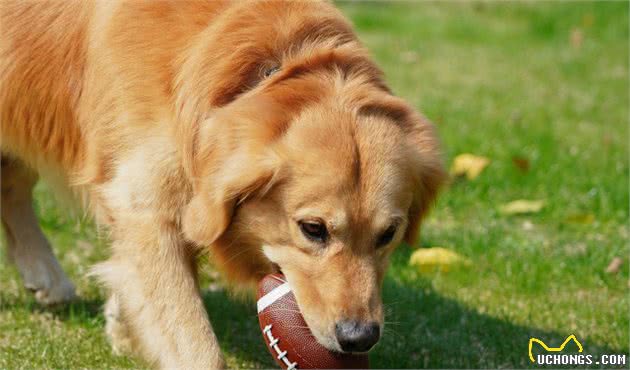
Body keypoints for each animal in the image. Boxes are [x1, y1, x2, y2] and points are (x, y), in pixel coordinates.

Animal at [0, 0, 446, 368]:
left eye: (389, 234)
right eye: (313, 229)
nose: (359, 338)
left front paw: (122, 321)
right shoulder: (149, 211)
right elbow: (195, 342)